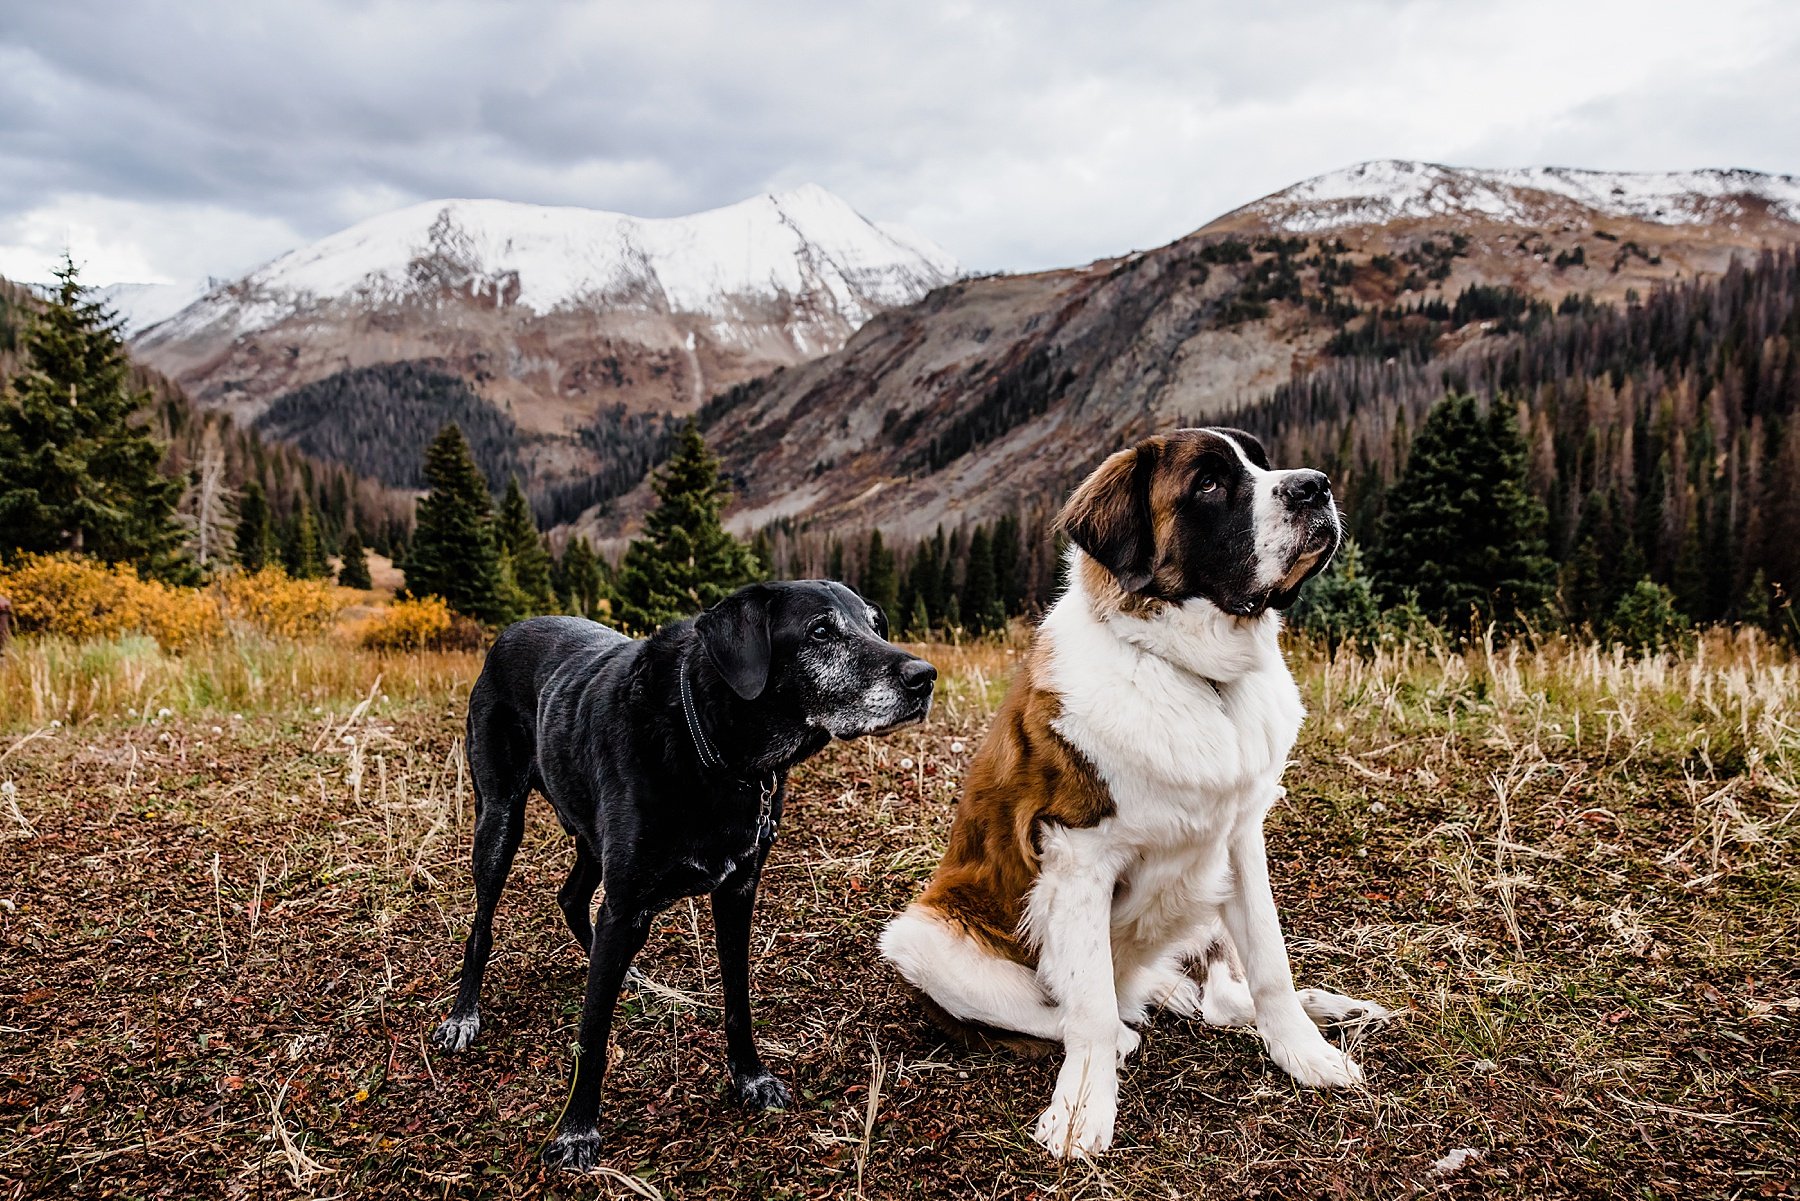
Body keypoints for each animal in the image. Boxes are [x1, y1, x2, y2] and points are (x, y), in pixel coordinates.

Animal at [428, 583, 936, 1173]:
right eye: (819, 631)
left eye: (876, 625)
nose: (925, 677)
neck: (715, 749)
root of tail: (510, 630)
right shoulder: (626, 903)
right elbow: (592, 1034)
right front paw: (576, 1131)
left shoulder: (736, 891)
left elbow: (738, 1000)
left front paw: (750, 1078)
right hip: (500, 818)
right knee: (483, 925)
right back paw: (464, 1014)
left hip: (591, 837)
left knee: (571, 896)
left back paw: (621, 970)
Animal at [882, 430, 1389, 1152]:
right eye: (1209, 483)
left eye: (1262, 461)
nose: (1315, 486)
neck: (1194, 674)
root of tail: (1144, 985)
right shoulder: (1077, 859)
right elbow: (1088, 1009)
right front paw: (1082, 1110)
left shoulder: (1239, 839)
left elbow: (1270, 961)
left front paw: (1305, 1053)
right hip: (919, 940)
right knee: (1080, 1009)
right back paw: (1123, 1033)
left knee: (1221, 998)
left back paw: (1329, 1008)